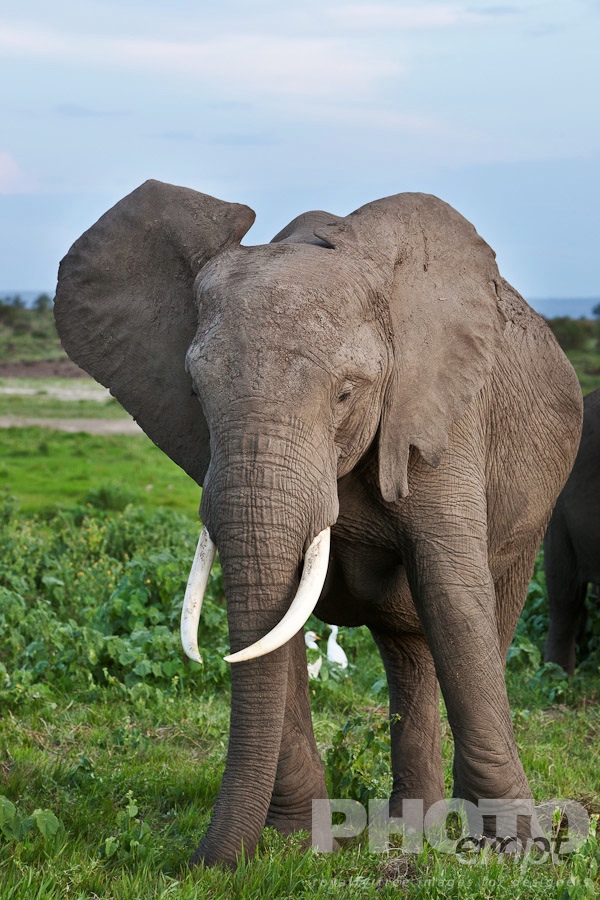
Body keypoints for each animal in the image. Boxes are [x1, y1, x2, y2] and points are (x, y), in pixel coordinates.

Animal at [53, 179, 583, 867]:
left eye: (346, 394)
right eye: (195, 395)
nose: (199, 867)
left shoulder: (442, 409)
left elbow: (454, 594)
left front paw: (514, 851)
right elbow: (274, 624)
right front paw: (296, 843)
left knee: (479, 612)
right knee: (408, 647)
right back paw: (409, 829)